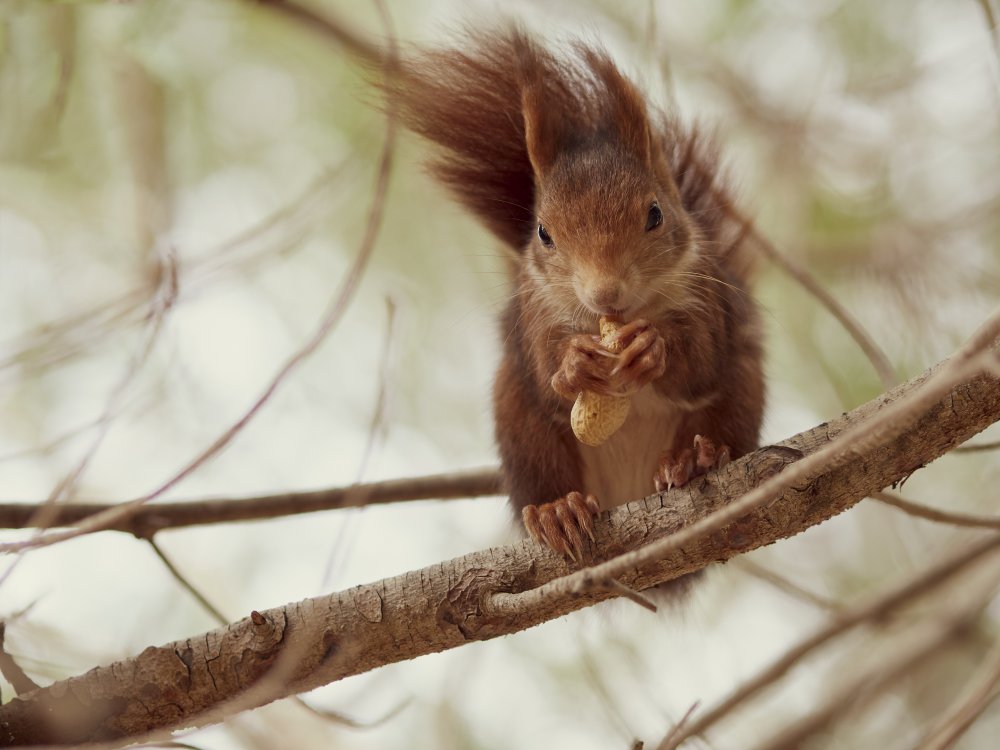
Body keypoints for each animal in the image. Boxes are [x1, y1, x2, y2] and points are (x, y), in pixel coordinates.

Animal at [384, 26, 764, 560]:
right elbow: (547, 371)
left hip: (740, 393)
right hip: (522, 427)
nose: (606, 294)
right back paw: (557, 510)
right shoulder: (535, 311)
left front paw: (653, 347)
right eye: (543, 233)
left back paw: (694, 460)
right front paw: (573, 364)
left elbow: (702, 359)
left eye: (655, 213)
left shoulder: (705, 294)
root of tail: (626, 494)